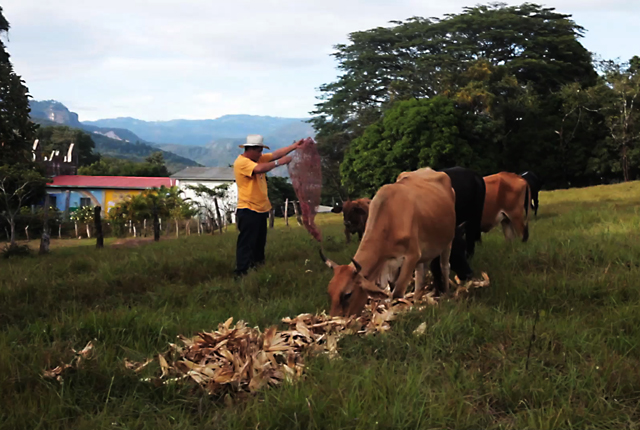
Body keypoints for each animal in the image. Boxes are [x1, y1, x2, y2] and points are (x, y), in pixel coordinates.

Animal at [320, 167, 456, 316]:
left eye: (347, 294)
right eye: (330, 292)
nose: (334, 319)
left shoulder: (411, 256)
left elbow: (397, 294)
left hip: (448, 241)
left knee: (444, 266)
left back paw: (446, 294)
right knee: (421, 273)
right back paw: (417, 299)